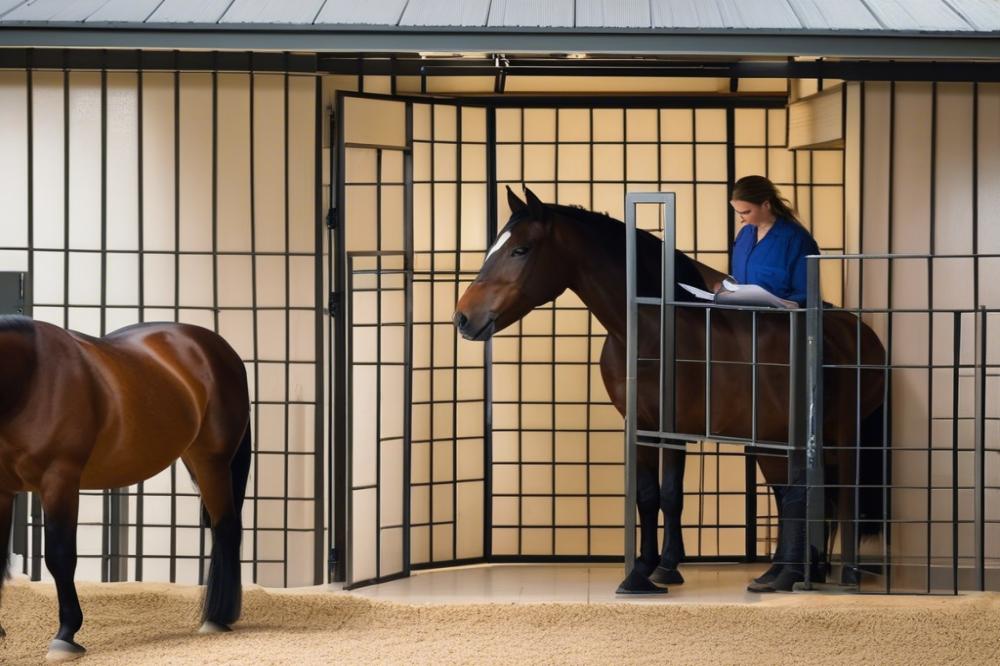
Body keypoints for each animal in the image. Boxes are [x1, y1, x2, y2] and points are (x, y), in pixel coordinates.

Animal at [0, 316, 251, 661]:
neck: (32, 378)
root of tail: (222, 350)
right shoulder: (3, 489)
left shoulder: (60, 480)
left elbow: (60, 556)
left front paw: (66, 635)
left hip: (213, 461)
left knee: (226, 527)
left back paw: (216, 618)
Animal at [454, 186, 886, 593]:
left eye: (520, 250)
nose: (462, 318)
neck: (651, 330)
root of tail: (859, 334)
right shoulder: (643, 427)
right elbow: (649, 496)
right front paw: (648, 567)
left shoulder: (675, 430)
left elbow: (671, 495)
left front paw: (662, 568)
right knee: (799, 496)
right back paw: (794, 570)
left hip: (837, 437)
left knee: (838, 495)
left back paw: (834, 574)